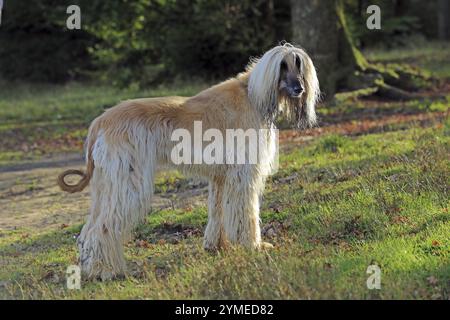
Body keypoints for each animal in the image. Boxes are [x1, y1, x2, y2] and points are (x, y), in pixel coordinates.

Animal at [58, 43, 318, 280]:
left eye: (299, 65)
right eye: (282, 65)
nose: (299, 88)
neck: (254, 96)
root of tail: (99, 122)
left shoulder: (222, 176)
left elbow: (217, 210)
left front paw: (217, 246)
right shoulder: (242, 173)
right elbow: (246, 212)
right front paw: (253, 245)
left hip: (106, 182)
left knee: (89, 229)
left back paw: (91, 268)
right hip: (127, 180)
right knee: (102, 227)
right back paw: (106, 271)